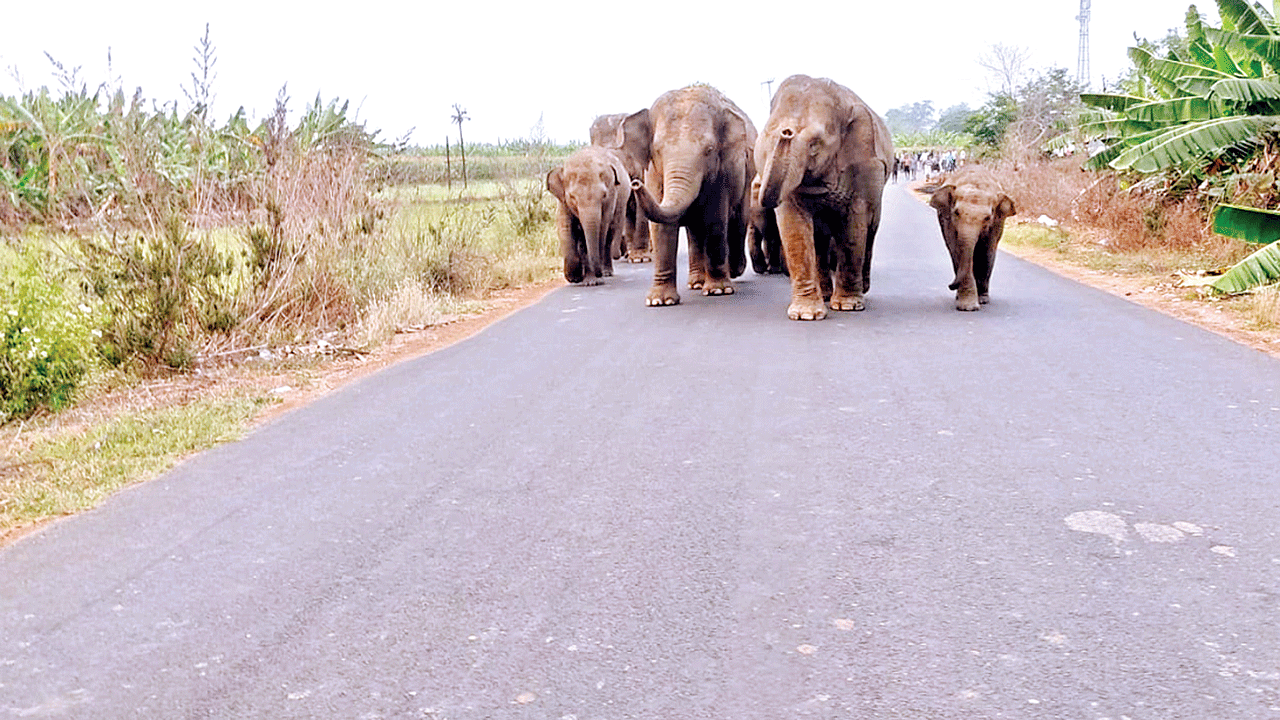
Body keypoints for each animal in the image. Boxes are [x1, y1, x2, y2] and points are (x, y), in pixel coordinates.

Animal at [547, 144, 632, 283]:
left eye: (604, 196)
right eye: (572, 197)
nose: (598, 274)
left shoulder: (611, 197)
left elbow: (601, 228)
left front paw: (591, 281)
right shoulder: (563, 201)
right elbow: (565, 227)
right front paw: (575, 277)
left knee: (609, 235)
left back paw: (606, 272)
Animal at [616, 83, 747, 302]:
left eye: (709, 150)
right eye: (657, 150)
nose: (634, 183)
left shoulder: (722, 171)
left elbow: (715, 218)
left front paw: (718, 291)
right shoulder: (653, 172)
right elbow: (661, 226)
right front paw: (659, 301)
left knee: (738, 219)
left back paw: (733, 272)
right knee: (695, 231)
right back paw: (696, 283)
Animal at [747, 74, 890, 317]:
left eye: (815, 145)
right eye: (766, 137)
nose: (787, 132)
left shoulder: (863, 165)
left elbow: (854, 225)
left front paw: (848, 306)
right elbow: (793, 224)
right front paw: (805, 315)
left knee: (870, 230)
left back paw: (862, 290)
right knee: (821, 240)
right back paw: (824, 295)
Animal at [931, 165, 1018, 311]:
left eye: (987, 218)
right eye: (956, 212)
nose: (950, 286)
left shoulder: (996, 223)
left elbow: (986, 252)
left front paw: (978, 301)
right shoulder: (947, 219)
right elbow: (956, 250)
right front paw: (968, 307)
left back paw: (982, 298)